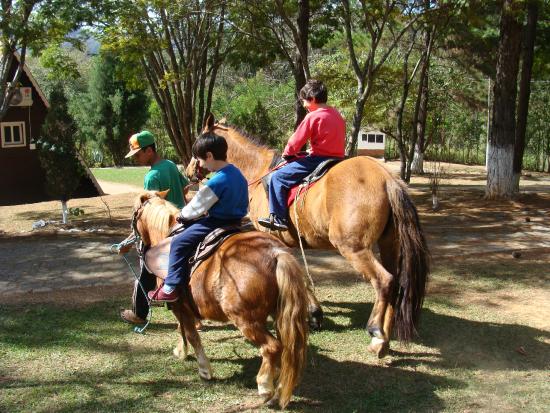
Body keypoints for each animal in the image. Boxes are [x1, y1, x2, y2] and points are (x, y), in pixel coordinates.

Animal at [130, 191, 310, 408]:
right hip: (280, 313)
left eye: (135, 215)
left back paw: (265, 387)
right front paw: (181, 352)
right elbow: (183, 330)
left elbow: (190, 334)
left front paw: (204, 369)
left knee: (272, 347)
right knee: (288, 349)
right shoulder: (182, 308)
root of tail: (276, 254)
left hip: (246, 320)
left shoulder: (178, 306)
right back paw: (279, 391)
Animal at [190, 115, 432, 358]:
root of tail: (386, 178)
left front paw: (314, 313)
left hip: (354, 248)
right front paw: (315, 313)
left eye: (197, 143)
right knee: (397, 282)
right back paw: (383, 342)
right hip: (389, 244)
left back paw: (376, 331)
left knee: (384, 281)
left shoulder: (272, 238)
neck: (259, 173)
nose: (190, 171)